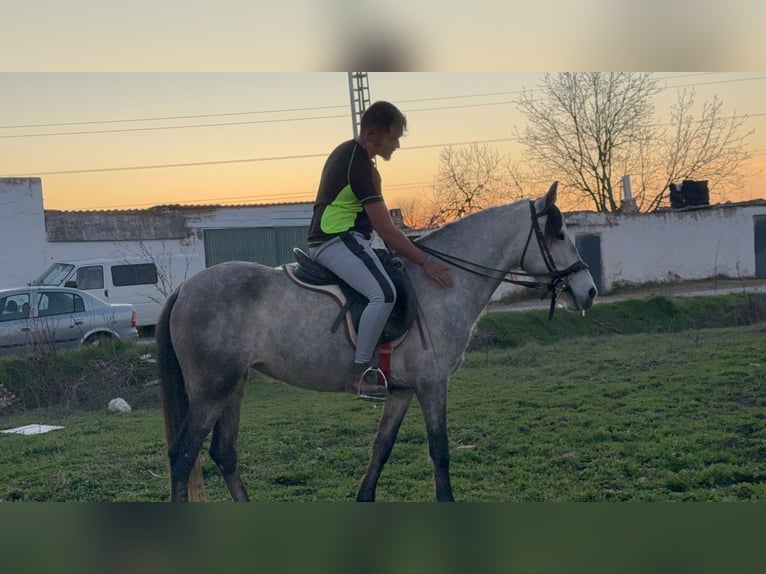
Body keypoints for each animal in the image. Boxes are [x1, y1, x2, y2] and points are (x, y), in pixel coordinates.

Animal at [158, 183, 600, 504]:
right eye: (559, 233)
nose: (589, 291)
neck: (440, 284)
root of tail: (185, 288)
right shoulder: (432, 385)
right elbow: (439, 452)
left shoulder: (401, 391)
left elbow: (382, 448)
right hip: (212, 390)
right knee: (183, 455)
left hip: (234, 386)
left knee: (223, 453)